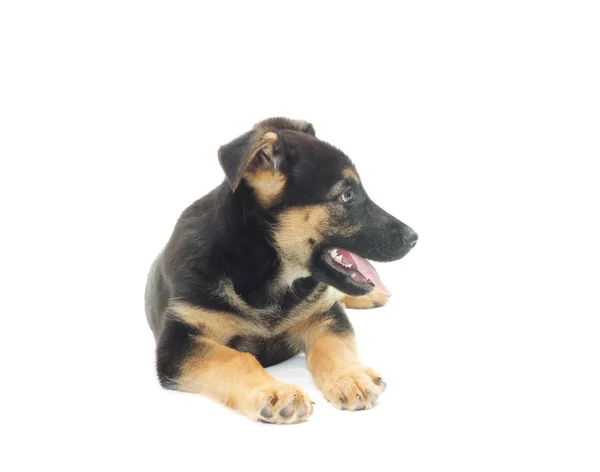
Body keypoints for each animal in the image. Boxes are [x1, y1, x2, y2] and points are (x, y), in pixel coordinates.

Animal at [145, 117, 418, 424]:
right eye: (347, 195)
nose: (414, 238)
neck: (265, 276)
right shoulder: (178, 345)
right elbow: (235, 359)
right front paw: (274, 391)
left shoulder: (325, 314)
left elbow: (334, 347)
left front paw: (350, 377)